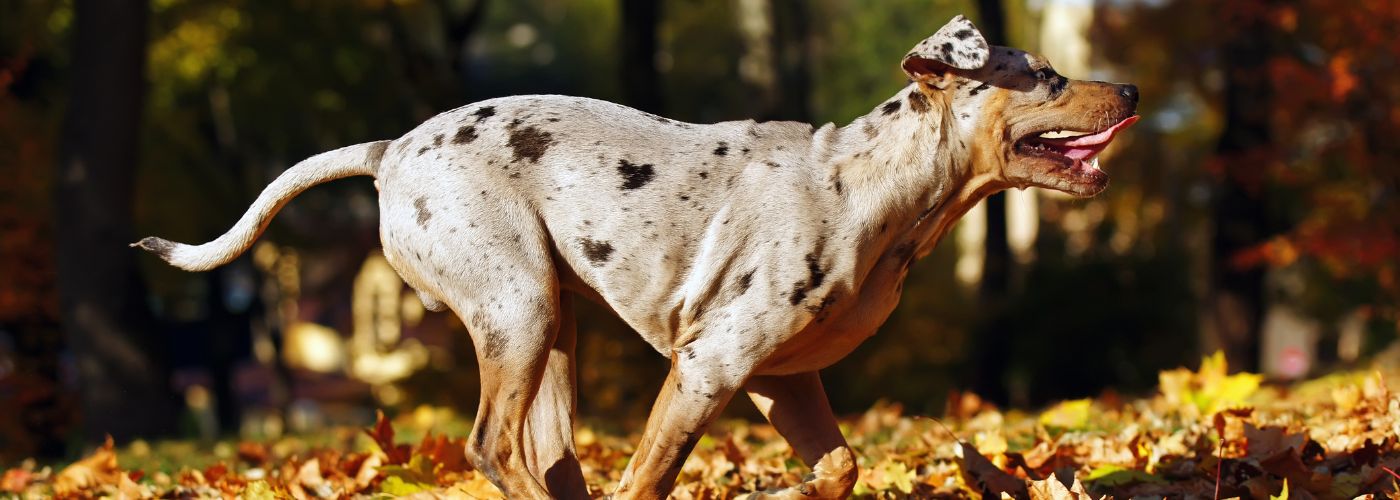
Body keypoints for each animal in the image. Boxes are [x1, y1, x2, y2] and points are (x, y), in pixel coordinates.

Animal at [133, 15, 1136, 498]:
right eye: (1046, 77)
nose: (1129, 88)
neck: (869, 186)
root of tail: (391, 151)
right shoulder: (710, 368)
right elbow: (649, 477)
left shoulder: (783, 381)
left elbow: (840, 468)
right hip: (518, 310)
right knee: (493, 448)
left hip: (552, 332)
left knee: (546, 460)